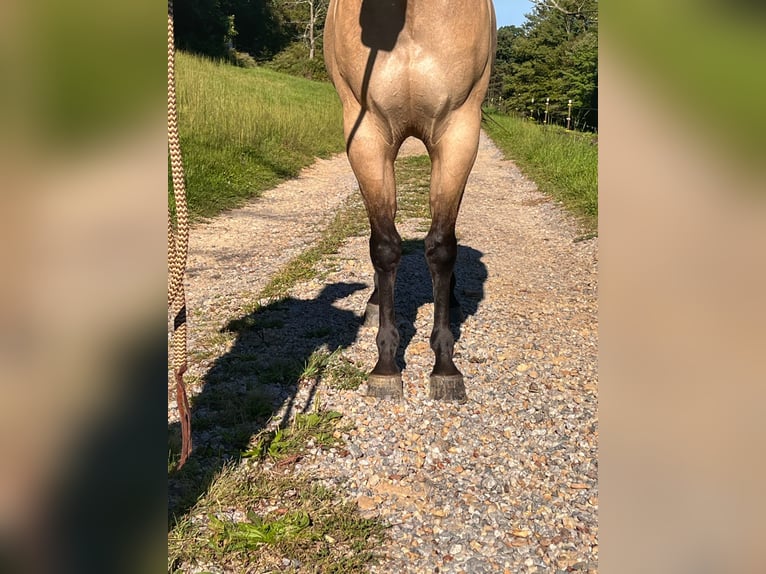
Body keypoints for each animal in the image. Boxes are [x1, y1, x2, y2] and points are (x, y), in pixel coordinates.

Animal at [324, 0, 496, 401]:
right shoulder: (366, 136)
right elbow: (384, 247)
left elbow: (443, 247)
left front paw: (445, 365)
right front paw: (386, 365)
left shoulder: (460, 133)